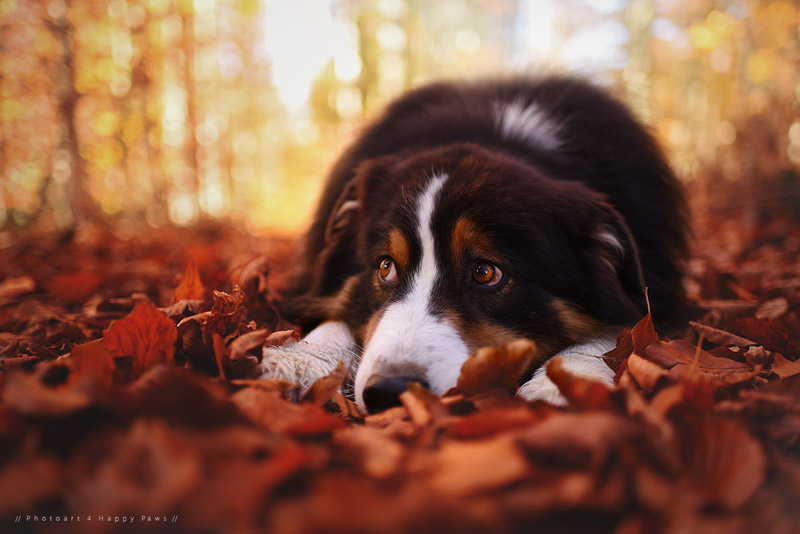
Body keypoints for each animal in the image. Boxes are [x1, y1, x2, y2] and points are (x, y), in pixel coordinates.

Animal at [260, 76, 688, 418]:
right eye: (385, 266)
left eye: (485, 272)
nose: (389, 392)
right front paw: (299, 359)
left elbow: (620, 330)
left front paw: (560, 384)